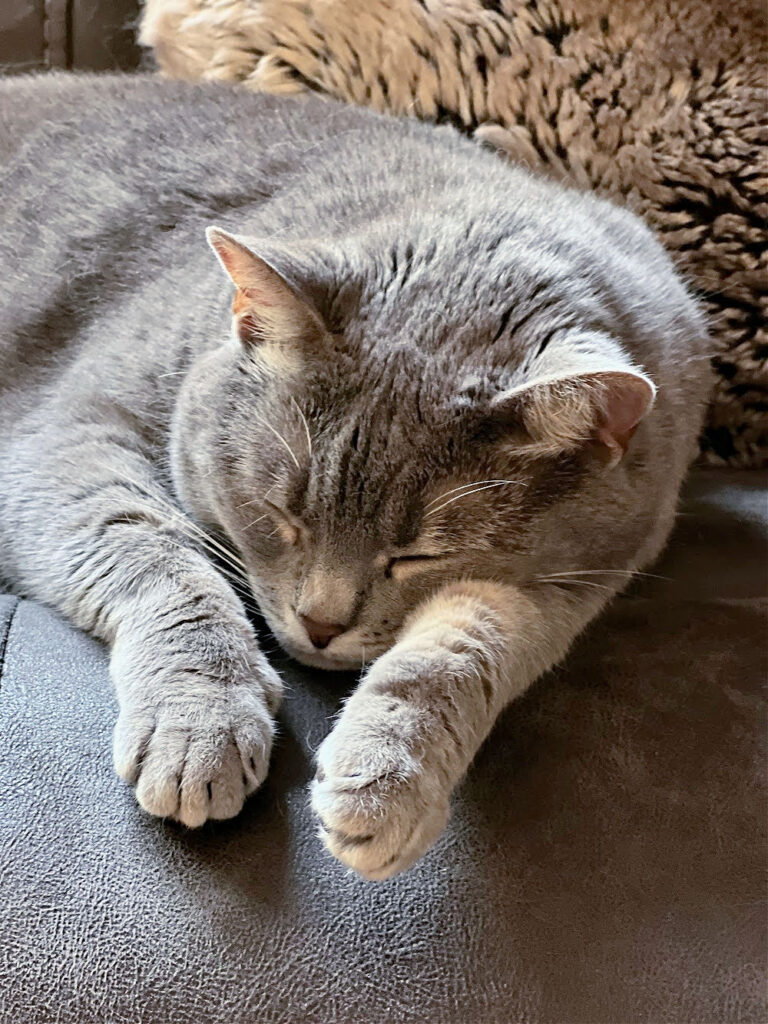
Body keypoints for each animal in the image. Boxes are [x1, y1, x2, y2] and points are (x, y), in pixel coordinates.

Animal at [0, 74, 708, 880]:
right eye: (282, 515)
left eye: (417, 556)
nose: (320, 624)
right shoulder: (70, 434)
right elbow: (161, 559)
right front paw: (201, 719)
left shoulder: (584, 573)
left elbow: (469, 643)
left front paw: (388, 776)